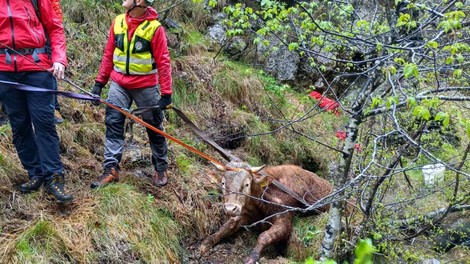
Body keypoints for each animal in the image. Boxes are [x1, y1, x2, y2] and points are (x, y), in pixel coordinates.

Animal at [200, 161, 332, 264]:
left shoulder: (285, 218)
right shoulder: (246, 215)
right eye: (223, 183)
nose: (230, 208)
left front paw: (252, 257)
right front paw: (207, 243)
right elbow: (227, 226)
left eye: (246, 184)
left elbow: (264, 236)